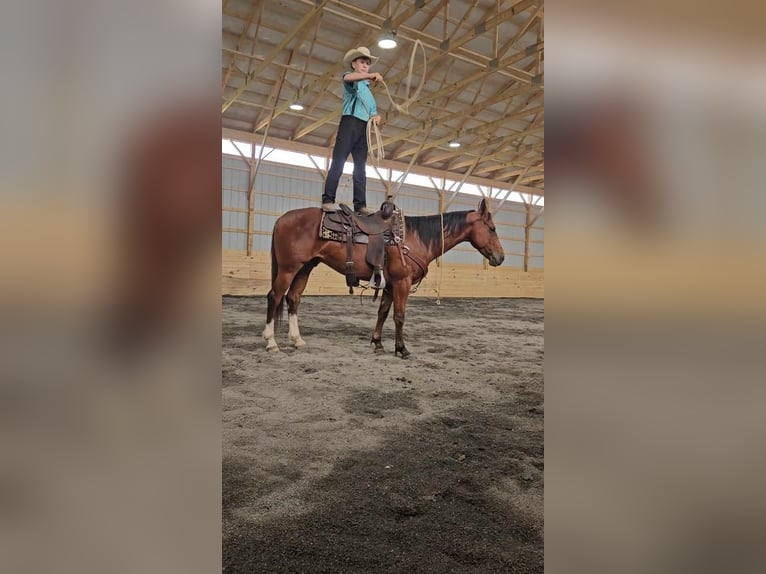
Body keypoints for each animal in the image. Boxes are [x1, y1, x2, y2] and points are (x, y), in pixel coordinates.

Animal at [262, 200, 504, 358]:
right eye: (492, 228)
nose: (500, 257)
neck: (414, 238)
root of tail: (282, 219)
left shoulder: (389, 285)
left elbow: (383, 313)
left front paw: (377, 343)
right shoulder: (401, 283)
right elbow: (399, 316)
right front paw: (401, 349)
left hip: (305, 268)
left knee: (293, 298)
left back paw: (297, 340)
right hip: (288, 268)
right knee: (274, 297)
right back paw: (271, 342)